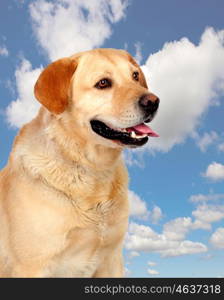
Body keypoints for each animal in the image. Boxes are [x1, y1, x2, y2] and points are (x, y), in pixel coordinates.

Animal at [0, 48, 159, 276]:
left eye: (135, 76)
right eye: (103, 83)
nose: (153, 102)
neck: (93, 169)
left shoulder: (111, 258)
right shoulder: (31, 266)